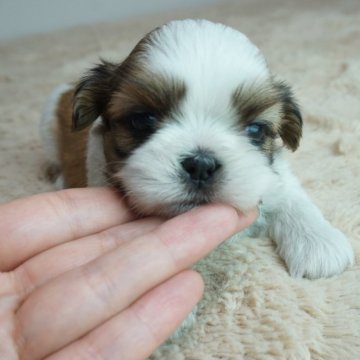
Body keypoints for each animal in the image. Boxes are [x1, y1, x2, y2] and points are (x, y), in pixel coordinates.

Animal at [42, 17, 354, 282]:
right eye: (142, 120)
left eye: (255, 129)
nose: (201, 165)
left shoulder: (271, 172)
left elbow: (289, 191)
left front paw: (319, 243)